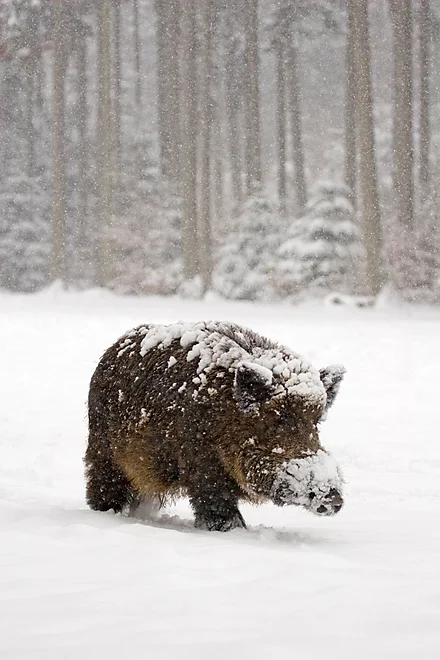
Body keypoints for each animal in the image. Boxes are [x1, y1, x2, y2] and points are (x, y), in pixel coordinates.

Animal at [84, 321, 345, 531]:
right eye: (278, 419)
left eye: (316, 423)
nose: (334, 498)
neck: (226, 416)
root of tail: (111, 351)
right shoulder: (201, 463)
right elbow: (216, 503)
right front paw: (231, 530)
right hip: (103, 450)